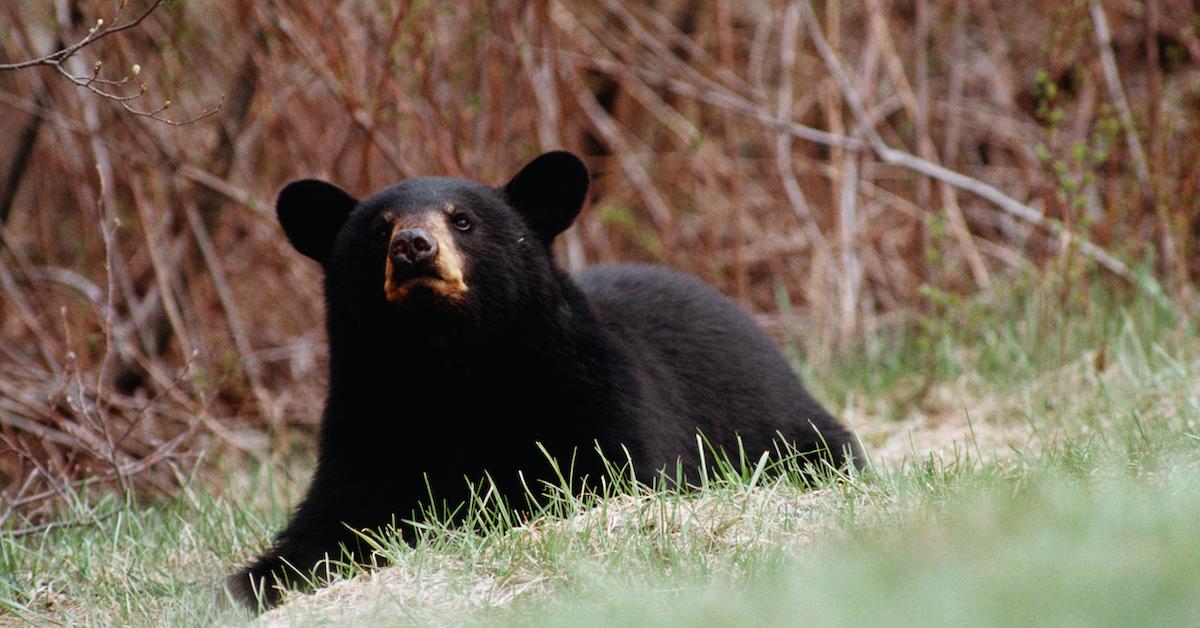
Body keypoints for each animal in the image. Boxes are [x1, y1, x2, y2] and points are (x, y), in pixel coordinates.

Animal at [226, 150, 864, 607]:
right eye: (379, 230)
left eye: (463, 220)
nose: (413, 246)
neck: (446, 366)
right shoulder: (364, 421)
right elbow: (332, 519)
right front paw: (254, 583)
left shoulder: (585, 391)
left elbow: (610, 471)